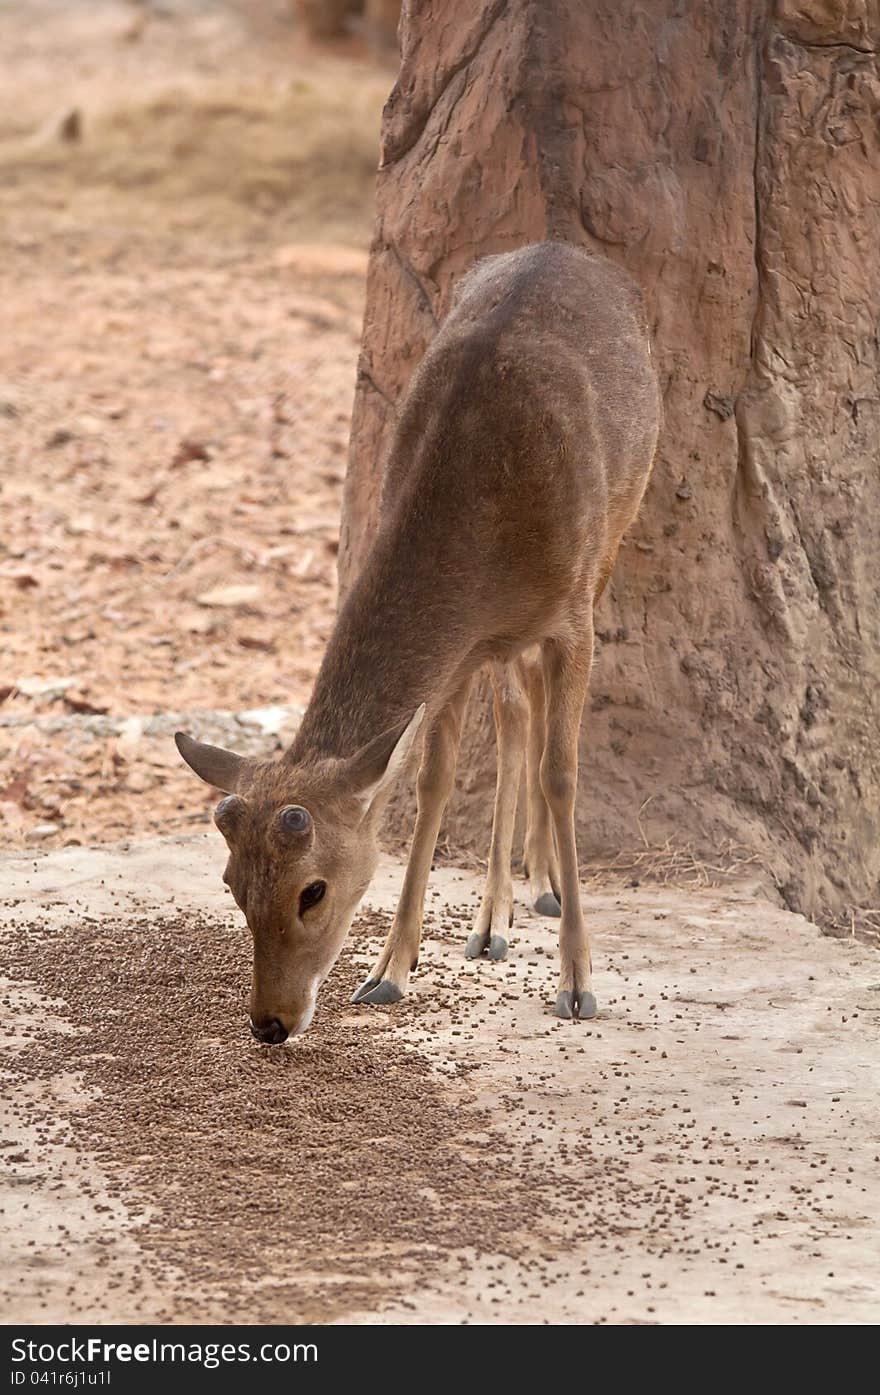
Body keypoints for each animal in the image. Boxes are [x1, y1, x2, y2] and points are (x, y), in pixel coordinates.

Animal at [175, 242, 661, 1049]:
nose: (270, 1023)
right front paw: (388, 970)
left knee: (535, 719)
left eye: (313, 889)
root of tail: (567, 250)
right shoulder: (461, 651)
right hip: (501, 643)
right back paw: (497, 914)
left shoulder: (571, 615)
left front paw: (578, 981)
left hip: (619, 526)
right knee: (514, 713)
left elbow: (563, 773)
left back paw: (542, 891)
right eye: (231, 885)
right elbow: (432, 779)